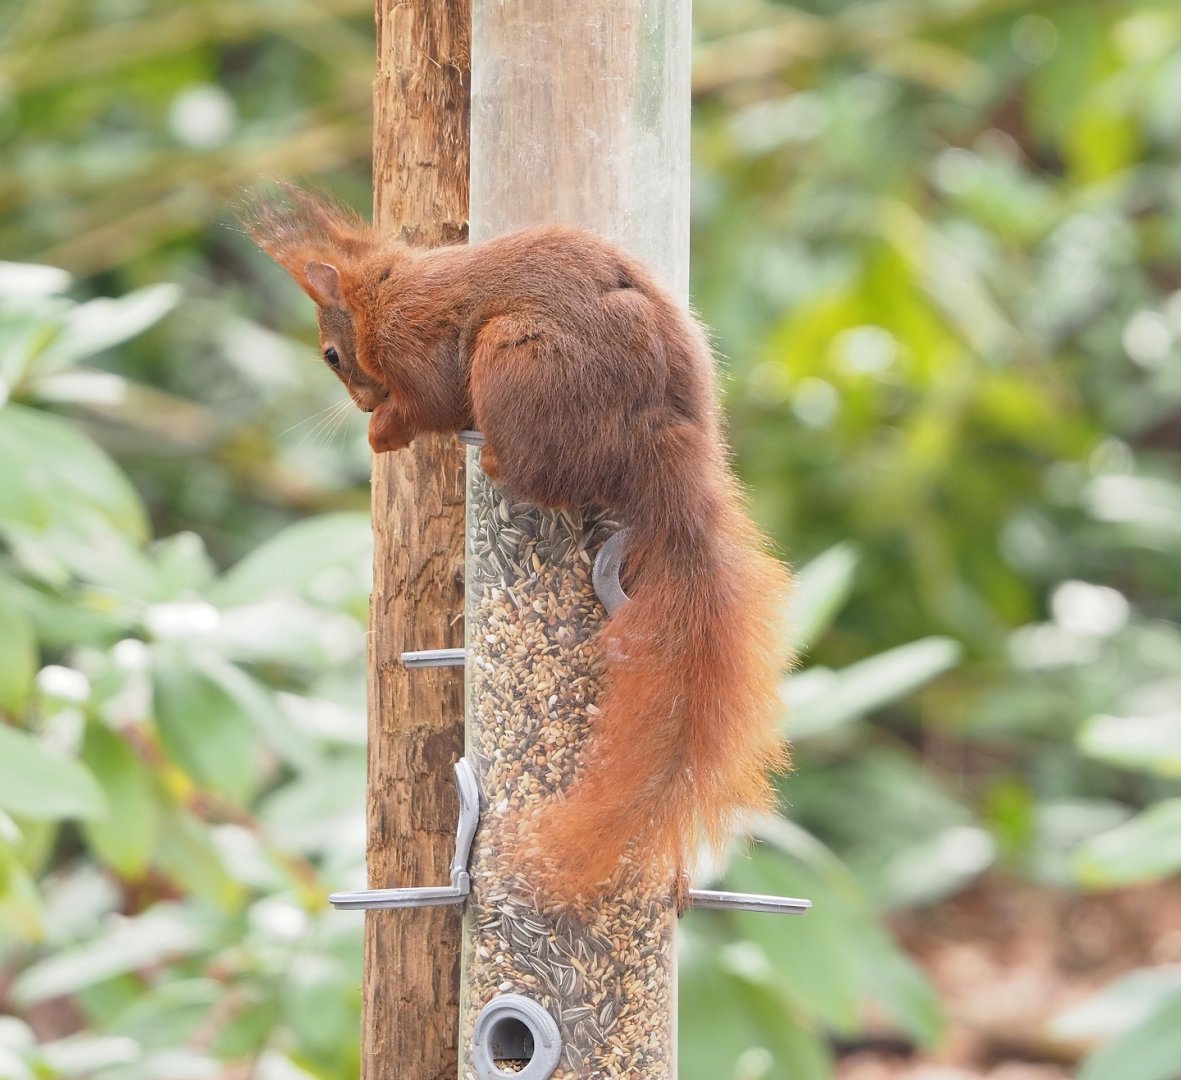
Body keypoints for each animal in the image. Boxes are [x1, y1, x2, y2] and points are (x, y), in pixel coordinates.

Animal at [246, 186, 793, 899]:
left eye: (332, 356)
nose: (363, 405)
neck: (386, 288)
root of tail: (651, 432)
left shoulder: (415, 344)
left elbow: (430, 399)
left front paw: (384, 431)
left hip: (513, 358)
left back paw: (495, 458)